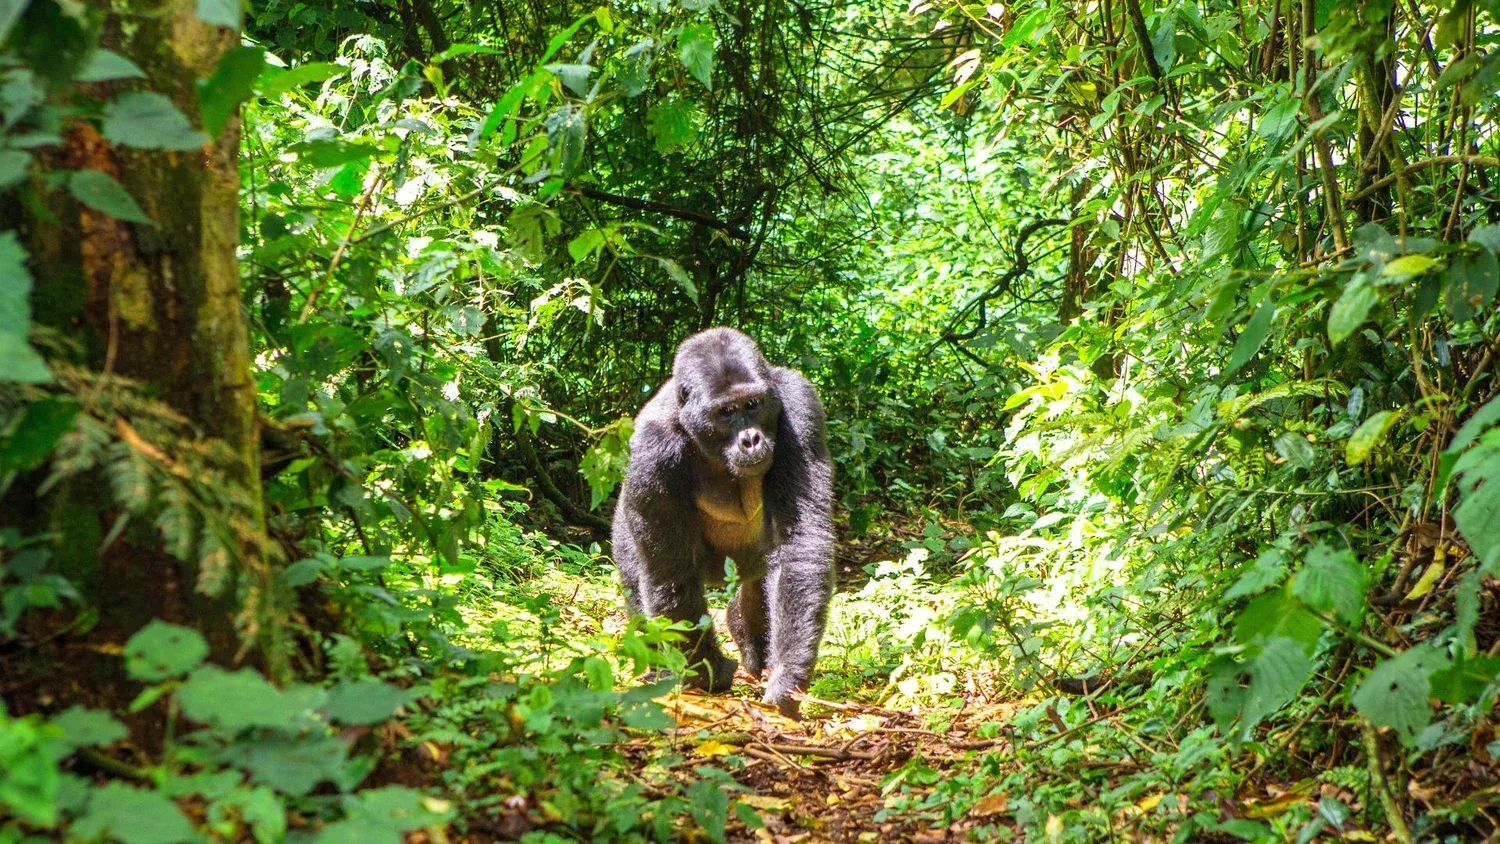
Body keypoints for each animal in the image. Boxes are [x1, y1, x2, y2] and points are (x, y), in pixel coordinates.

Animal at [612, 327, 835, 719]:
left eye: (753, 405)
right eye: (725, 412)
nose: (751, 439)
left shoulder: (799, 403)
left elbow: (799, 543)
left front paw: (788, 674)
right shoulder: (652, 448)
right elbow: (671, 572)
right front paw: (708, 671)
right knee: (639, 577)